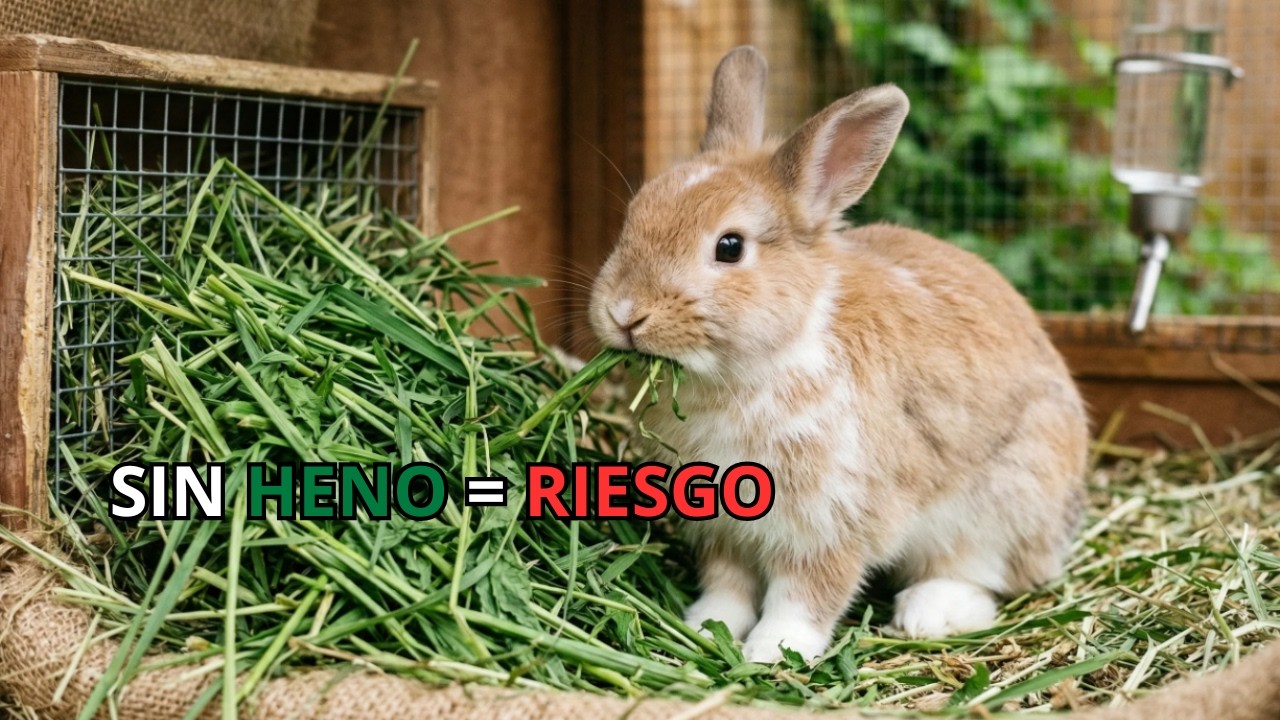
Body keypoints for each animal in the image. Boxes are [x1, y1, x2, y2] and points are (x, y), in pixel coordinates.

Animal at [587, 45, 1089, 664]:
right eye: (634, 214)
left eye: (729, 247)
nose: (624, 313)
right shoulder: (724, 530)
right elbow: (727, 583)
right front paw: (708, 626)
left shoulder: (834, 520)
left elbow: (806, 593)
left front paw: (773, 650)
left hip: (1002, 503)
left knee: (983, 576)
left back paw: (928, 612)